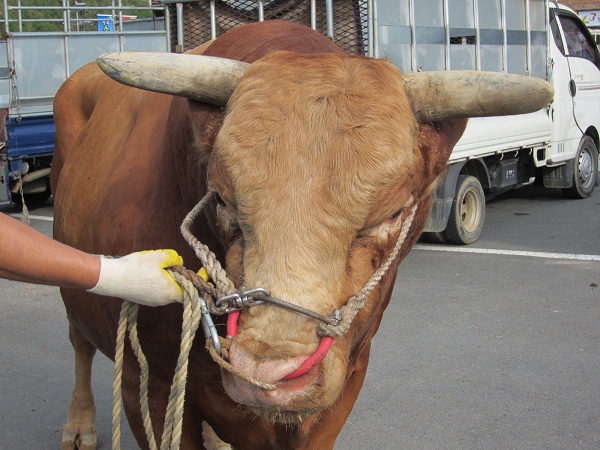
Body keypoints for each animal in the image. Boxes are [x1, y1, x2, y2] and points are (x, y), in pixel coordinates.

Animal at [51, 19, 552, 448]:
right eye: (221, 200)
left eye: (392, 212)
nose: (270, 371)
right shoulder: (147, 383)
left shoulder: (348, 378)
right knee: (77, 341)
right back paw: (79, 425)